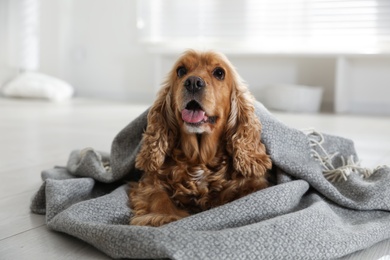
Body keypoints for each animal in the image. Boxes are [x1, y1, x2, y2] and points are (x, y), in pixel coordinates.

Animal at [129, 49, 272, 226]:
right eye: (181, 71)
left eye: (219, 73)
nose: (193, 82)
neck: (199, 159)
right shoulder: (150, 179)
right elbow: (157, 195)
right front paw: (163, 216)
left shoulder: (253, 182)